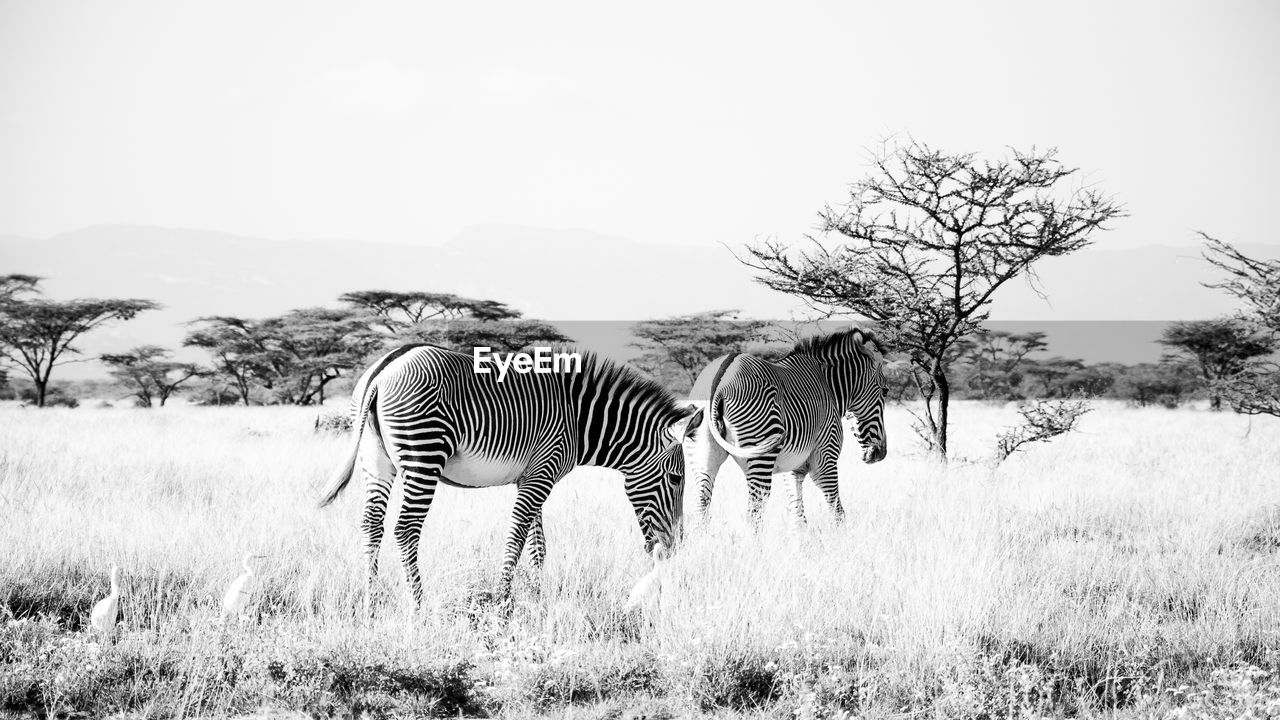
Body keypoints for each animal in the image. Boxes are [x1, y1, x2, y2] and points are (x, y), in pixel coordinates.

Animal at [325, 340, 696, 599]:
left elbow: (537, 546)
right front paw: (504, 601)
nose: (676, 549)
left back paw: (373, 599)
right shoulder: (542, 474)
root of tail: (385, 368)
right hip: (424, 454)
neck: (579, 421)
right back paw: (419, 605)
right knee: (405, 529)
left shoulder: (533, 475)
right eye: (676, 479)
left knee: (371, 524)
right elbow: (517, 538)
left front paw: (537, 596)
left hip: (376, 460)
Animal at [686, 327, 885, 525]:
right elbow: (836, 509)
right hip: (761, 452)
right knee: (754, 511)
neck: (828, 386)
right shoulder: (825, 456)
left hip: (702, 453)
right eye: (885, 391)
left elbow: (798, 516)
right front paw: (841, 533)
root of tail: (721, 376)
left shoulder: (793, 468)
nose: (879, 454)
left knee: (701, 506)